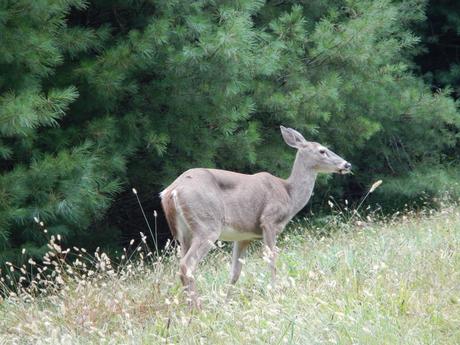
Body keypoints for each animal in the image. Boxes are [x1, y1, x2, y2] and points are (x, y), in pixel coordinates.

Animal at [160, 125, 350, 306]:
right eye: (322, 150)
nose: (347, 164)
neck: (289, 195)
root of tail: (171, 191)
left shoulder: (244, 236)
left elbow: (235, 272)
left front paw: (226, 304)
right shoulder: (269, 221)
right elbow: (272, 261)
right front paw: (275, 293)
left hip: (185, 233)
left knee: (183, 264)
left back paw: (190, 306)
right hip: (207, 225)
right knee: (187, 264)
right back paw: (198, 307)